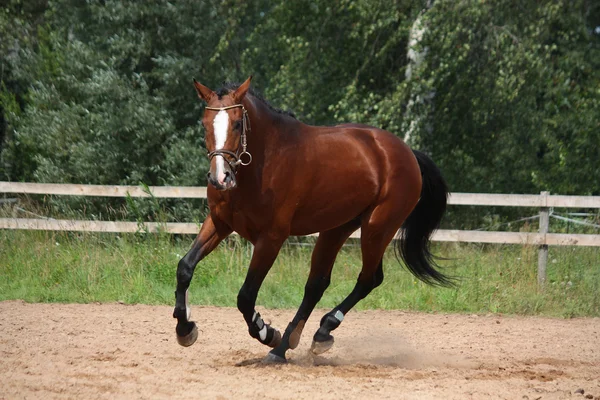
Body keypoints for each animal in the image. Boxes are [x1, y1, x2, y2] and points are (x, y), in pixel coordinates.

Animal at [170, 76, 450, 362]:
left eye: (237, 123)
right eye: (205, 123)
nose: (220, 178)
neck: (263, 162)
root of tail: (406, 152)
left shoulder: (272, 238)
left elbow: (246, 296)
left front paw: (267, 332)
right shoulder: (220, 223)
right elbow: (185, 267)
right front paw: (185, 329)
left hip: (377, 228)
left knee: (368, 279)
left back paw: (308, 336)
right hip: (337, 229)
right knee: (317, 285)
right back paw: (295, 343)